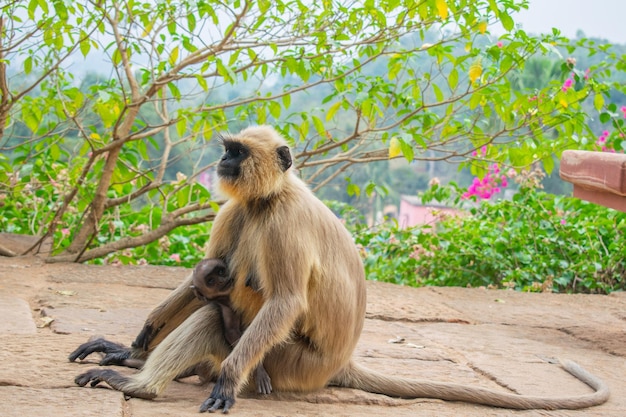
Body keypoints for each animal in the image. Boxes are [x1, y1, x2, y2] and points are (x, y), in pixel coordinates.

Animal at [189, 256, 270, 394]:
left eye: (221, 272)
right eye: (211, 281)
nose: (222, 280)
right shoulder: (227, 308)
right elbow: (232, 332)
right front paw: (259, 370)